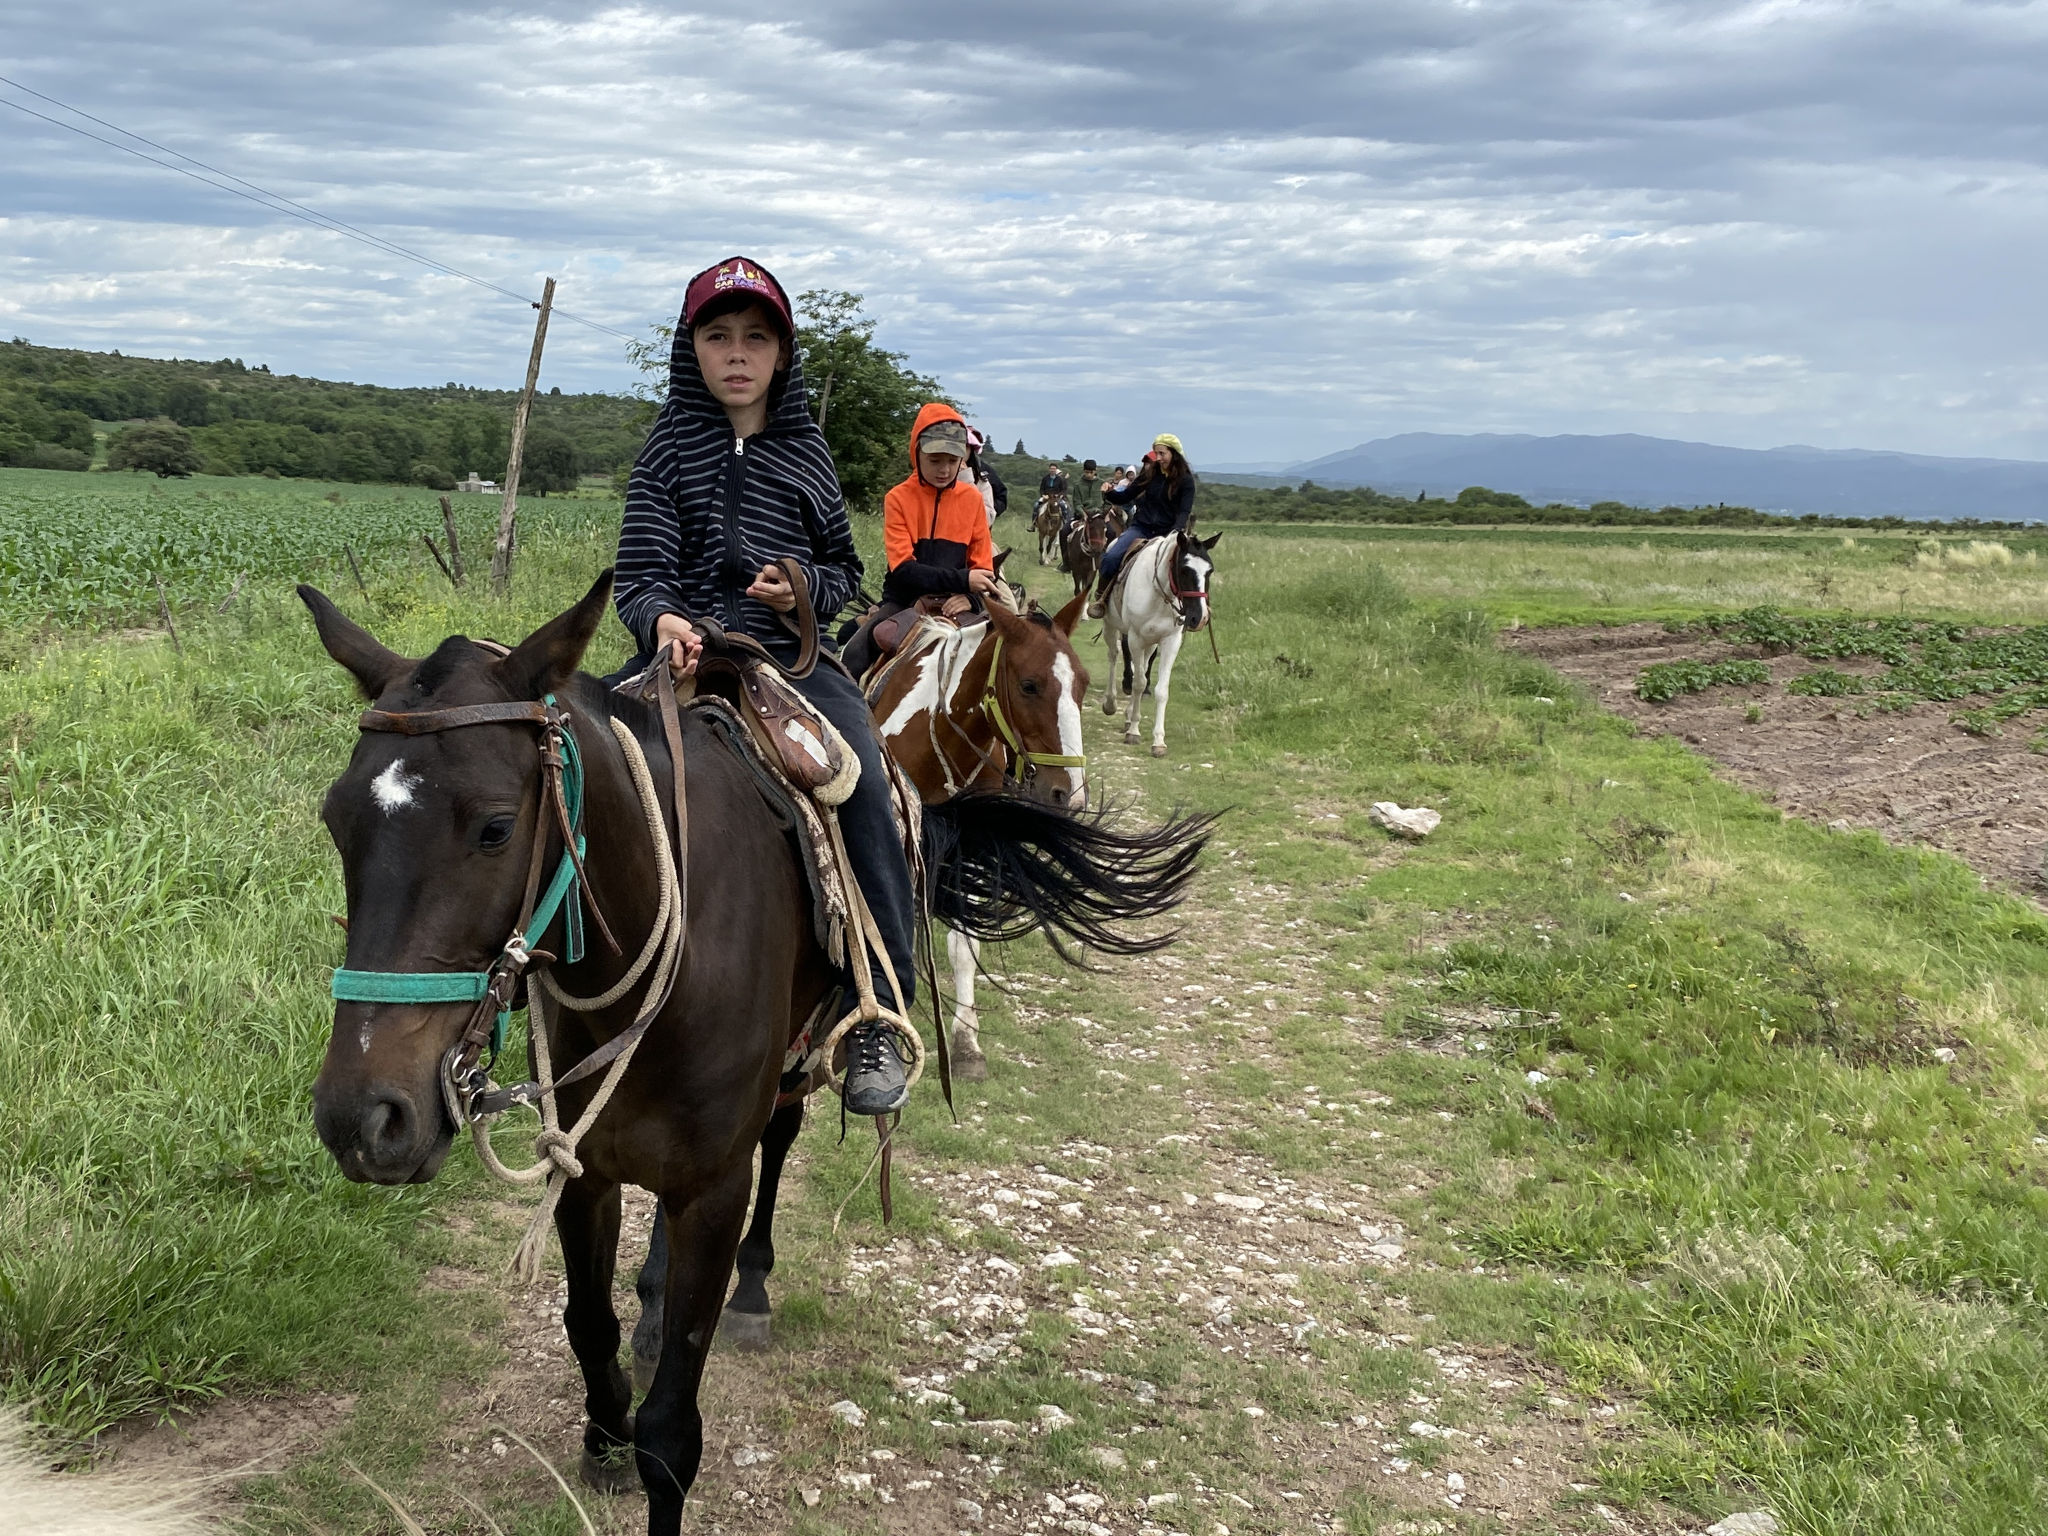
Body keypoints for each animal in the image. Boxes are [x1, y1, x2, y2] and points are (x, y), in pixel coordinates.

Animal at [1105, 532, 1212, 761]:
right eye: (1184, 570)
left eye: (1210, 571)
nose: (1200, 618)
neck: (1159, 595)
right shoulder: (1135, 638)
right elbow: (1137, 684)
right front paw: (1133, 732)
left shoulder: (1170, 641)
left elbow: (1160, 690)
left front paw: (1158, 742)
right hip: (1111, 626)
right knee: (1113, 655)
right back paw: (1110, 703)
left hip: (1150, 643)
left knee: (1142, 667)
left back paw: (1127, 715)